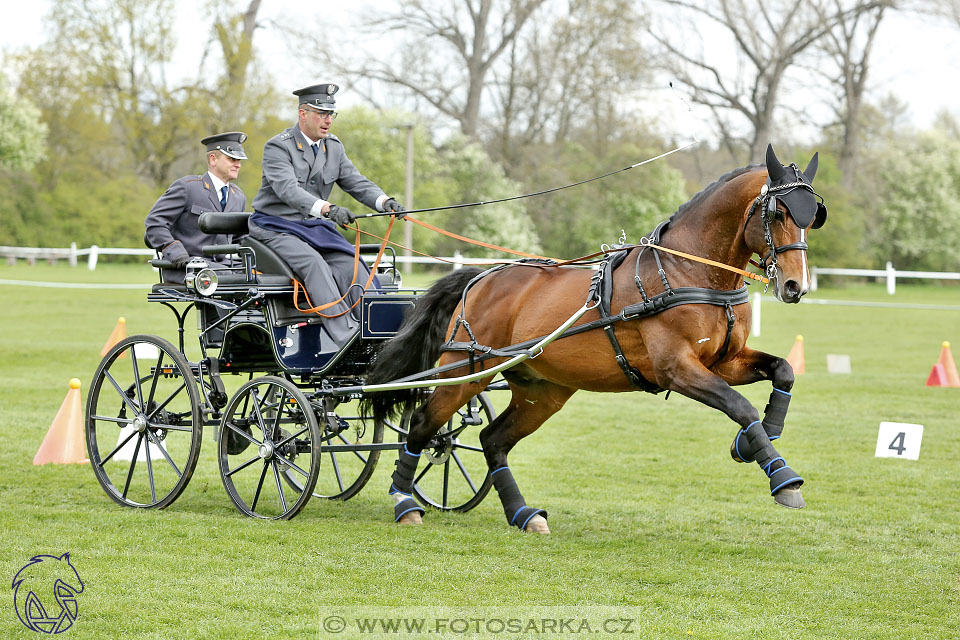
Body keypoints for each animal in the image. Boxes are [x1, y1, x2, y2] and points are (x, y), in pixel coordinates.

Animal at [364, 142, 828, 532]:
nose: (795, 286)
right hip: (467, 372)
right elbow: (740, 406)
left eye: (812, 218)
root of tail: (481, 277)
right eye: (777, 213)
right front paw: (783, 478)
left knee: (491, 440)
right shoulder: (677, 369)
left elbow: (783, 372)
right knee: (424, 425)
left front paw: (752, 443)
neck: (690, 273)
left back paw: (523, 514)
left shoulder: (723, 362)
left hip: (542, 391)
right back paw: (405, 503)